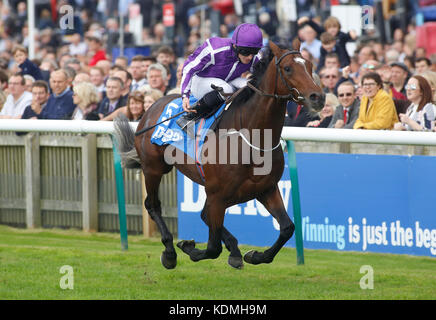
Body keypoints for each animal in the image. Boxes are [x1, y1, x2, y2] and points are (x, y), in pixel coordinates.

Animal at [114, 40, 326, 270]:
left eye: (310, 65)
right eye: (288, 68)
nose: (318, 97)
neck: (252, 137)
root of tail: (151, 108)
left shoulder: (265, 189)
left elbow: (287, 228)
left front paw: (255, 255)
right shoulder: (218, 194)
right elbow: (213, 247)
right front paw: (188, 247)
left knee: (204, 214)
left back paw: (233, 250)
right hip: (154, 168)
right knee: (153, 205)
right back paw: (170, 252)